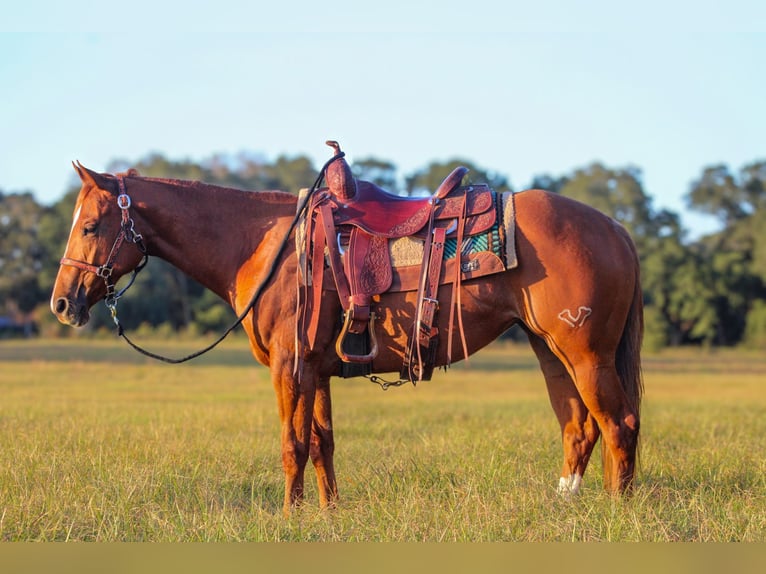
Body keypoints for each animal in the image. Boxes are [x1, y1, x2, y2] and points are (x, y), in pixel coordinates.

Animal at [51, 162, 644, 516]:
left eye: (89, 226)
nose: (61, 304)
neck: (263, 246)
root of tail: (616, 227)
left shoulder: (289, 367)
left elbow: (292, 444)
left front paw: (289, 518)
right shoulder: (316, 369)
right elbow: (321, 444)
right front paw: (327, 513)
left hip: (586, 355)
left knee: (619, 424)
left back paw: (618, 510)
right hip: (551, 352)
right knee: (578, 428)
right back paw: (566, 504)